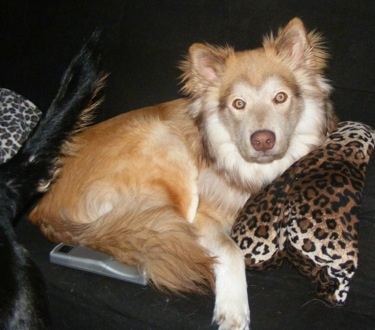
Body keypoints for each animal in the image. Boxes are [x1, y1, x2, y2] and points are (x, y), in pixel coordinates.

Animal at [29, 18, 338, 330]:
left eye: (280, 97)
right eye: (238, 104)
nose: (262, 140)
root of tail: (43, 211)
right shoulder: (203, 217)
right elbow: (231, 250)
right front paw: (233, 309)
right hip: (167, 146)